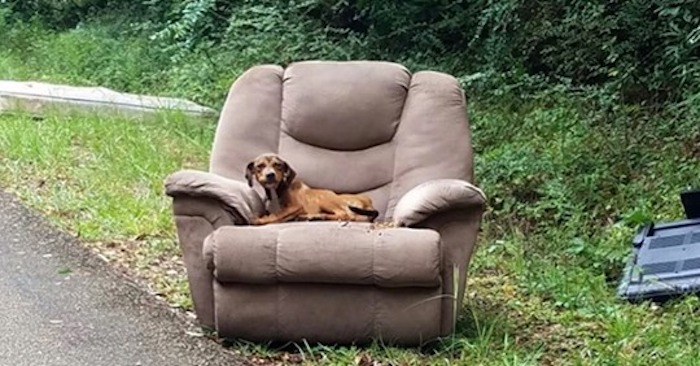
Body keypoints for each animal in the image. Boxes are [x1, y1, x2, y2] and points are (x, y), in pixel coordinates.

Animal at [245, 152, 380, 226]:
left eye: (278, 165)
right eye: (260, 166)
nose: (270, 175)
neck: (276, 191)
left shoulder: (296, 206)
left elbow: (278, 214)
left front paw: (260, 220)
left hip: (323, 199)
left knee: (345, 214)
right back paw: (315, 217)